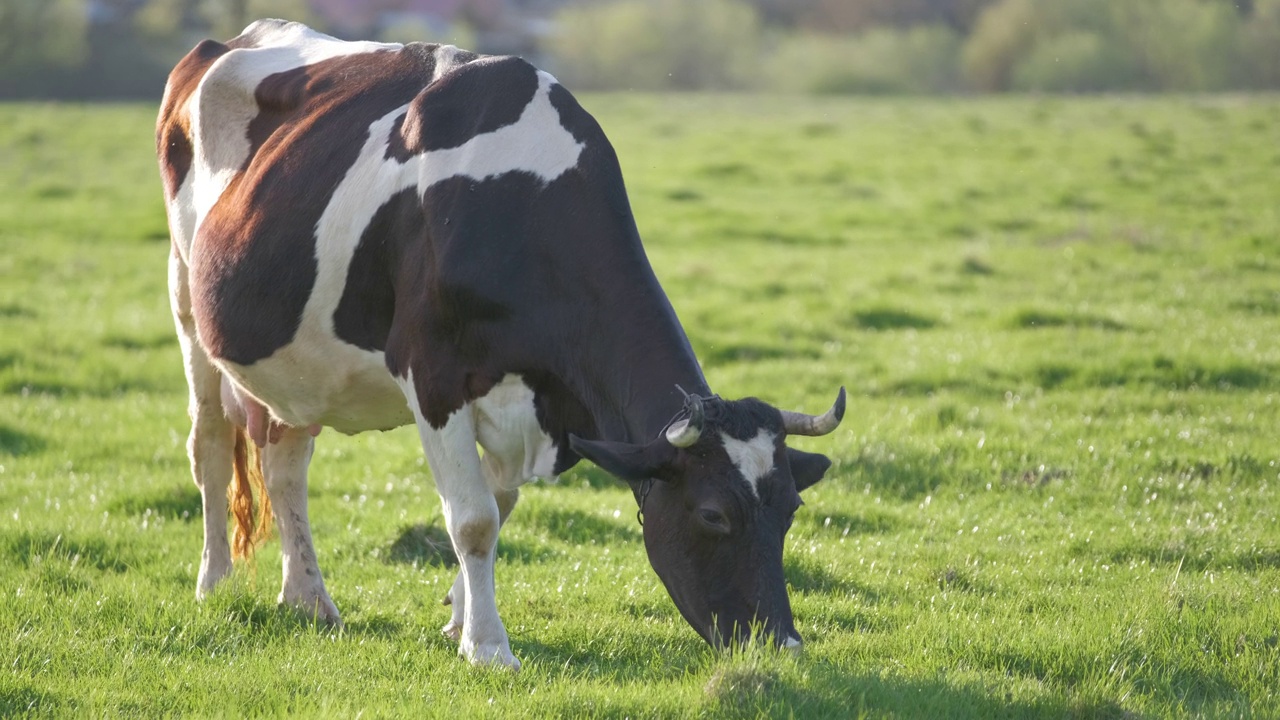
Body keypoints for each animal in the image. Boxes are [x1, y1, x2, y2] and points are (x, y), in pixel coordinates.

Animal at [157, 18, 839, 666]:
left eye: (790, 510)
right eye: (712, 514)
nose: (781, 643)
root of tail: (233, 39)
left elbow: (501, 503)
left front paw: (460, 617)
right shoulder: (432, 376)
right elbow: (476, 519)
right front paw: (487, 647)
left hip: (296, 361)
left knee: (286, 465)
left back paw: (308, 598)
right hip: (187, 296)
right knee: (209, 445)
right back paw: (215, 584)